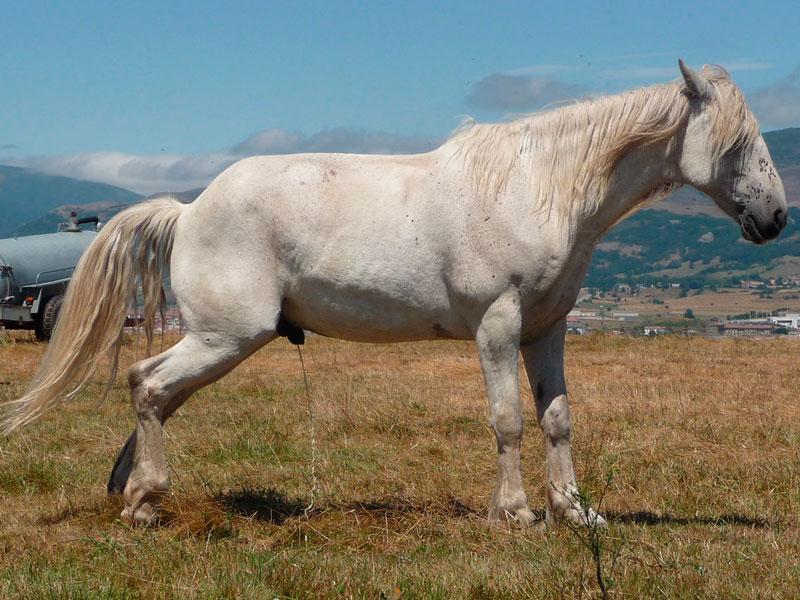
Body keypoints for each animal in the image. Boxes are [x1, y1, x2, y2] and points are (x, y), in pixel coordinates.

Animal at [3, 61, 784, 524]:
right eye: (738, 143)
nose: (776, 217)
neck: (535, 188)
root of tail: (188, 210)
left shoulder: (546, 329)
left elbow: (557, 419)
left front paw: (575, 512)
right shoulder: (497, 327)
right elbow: (508, 421)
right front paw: (517, 514)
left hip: (221, 342)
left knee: (153, 391)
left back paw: (131, 491)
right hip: (227, 337)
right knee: (149, 384)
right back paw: (144, 503)